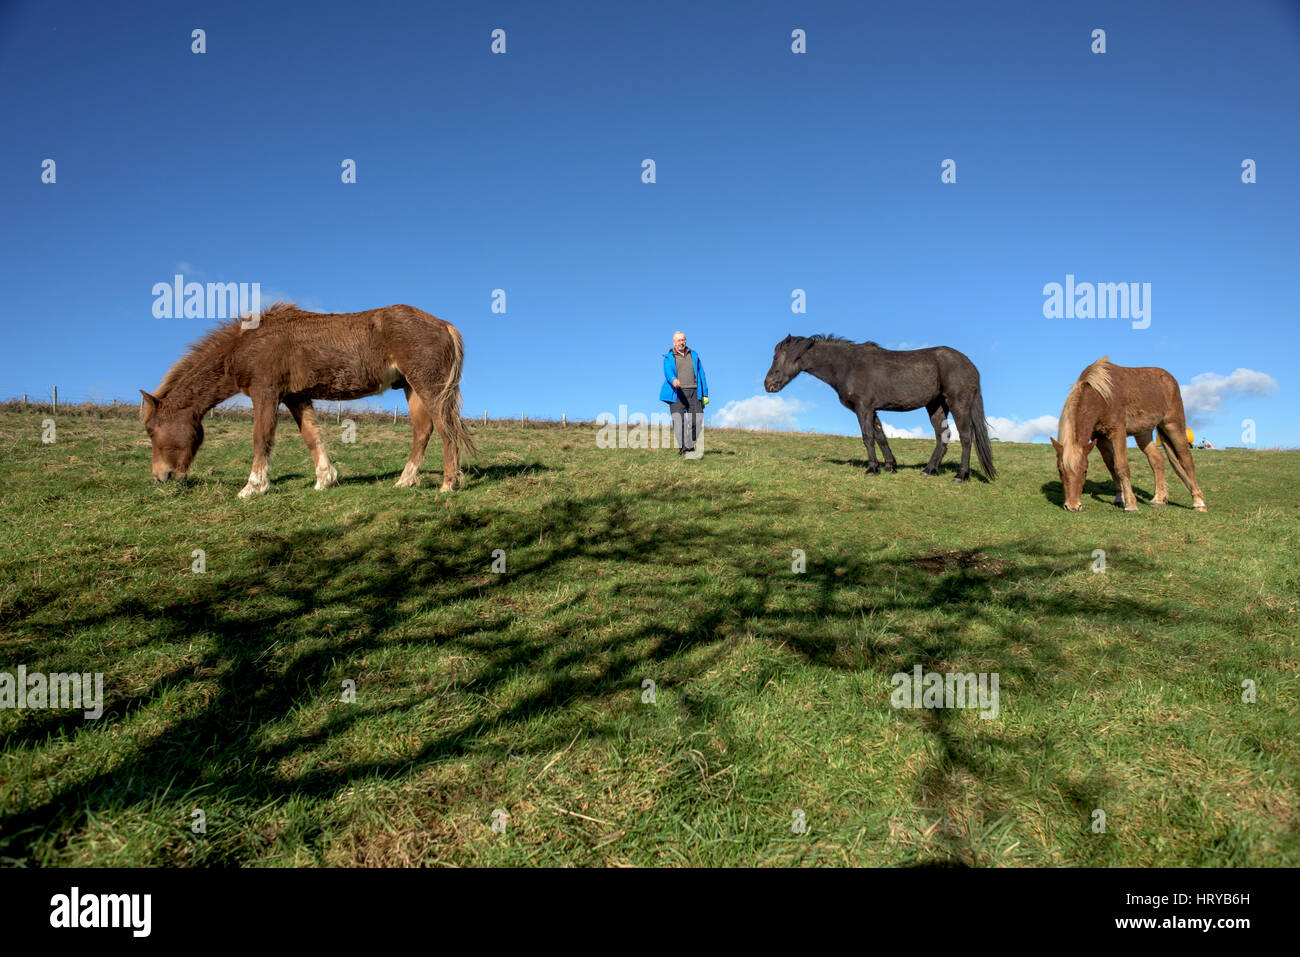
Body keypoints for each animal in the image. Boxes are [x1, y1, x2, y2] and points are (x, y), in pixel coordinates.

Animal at [139, 302, 475, 496]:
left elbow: (261, 438)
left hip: (429, 387)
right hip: (410, 388)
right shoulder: (296, 398)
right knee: (422, 431)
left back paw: (448, 484)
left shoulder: (266, 393)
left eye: (152, 431)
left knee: (446, 431)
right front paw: (325, 479)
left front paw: (253, 487)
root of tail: (444, 325)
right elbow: (312, 437)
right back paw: (405, 481)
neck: (247, 343)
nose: (160, 477)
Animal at [759, 335, 993, 486]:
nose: (768, 384)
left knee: (965, 437)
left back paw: (961, 476)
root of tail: (970, 365)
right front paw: (890, 466)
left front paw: (872, 469)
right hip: (935, 405)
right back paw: (929, 470)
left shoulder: (863, 408)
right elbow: (880, 436)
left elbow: (868, 437)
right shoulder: (872, 410)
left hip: (958, 403)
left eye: (777, 357)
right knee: (942, 436)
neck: (848, 365)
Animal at [1045, 356, 1206, 512]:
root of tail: (1169, 378)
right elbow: (1112, 466)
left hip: (1173, 426)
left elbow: (1121, 467)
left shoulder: (1118, 433)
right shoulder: (1100, 438)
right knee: (1157, 459)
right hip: (1143, 433)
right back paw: (1158, 500)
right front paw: (1119, 499)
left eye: (1085, 471)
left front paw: (1131, 505)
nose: (1072, 506)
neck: (1102, 396)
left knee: (1186, 461)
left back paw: (1199, 503)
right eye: (1060, 470)